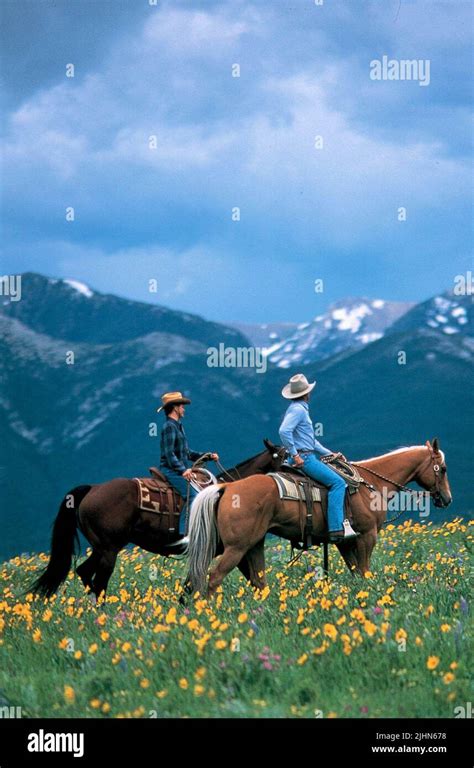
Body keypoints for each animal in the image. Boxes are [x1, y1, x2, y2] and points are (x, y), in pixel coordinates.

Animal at [32, 438, 286, 600]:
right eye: (283, 456)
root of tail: (92, 489)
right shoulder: (226, 549)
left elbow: (252, 579)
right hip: (109, 550)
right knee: (100, 580)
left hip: (102, 548)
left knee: (84, 572)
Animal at [185, 438, 452, 592]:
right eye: (443, 468)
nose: (447, 499)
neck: (371, 484)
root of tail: (227, 487)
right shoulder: (367, 536)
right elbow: (365, 571)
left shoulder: (345, 542)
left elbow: (356, 573)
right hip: (236, 547)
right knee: (213, 577)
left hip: (252, 545)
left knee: (258, 581)